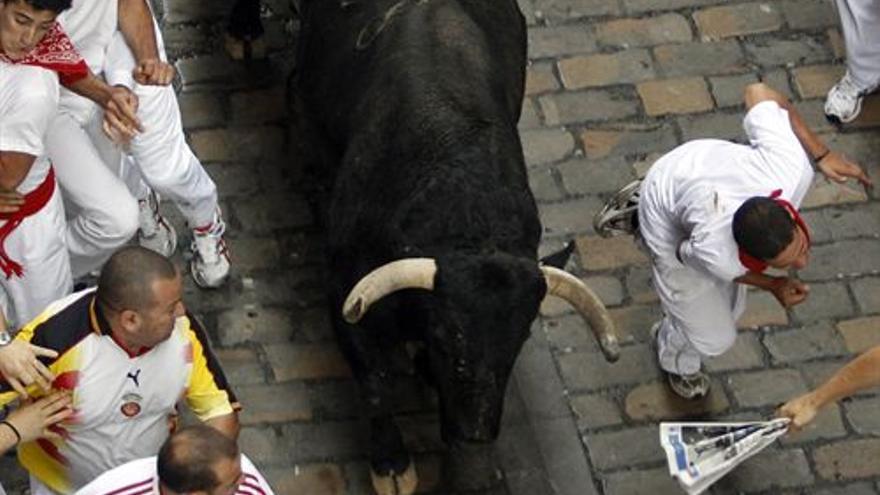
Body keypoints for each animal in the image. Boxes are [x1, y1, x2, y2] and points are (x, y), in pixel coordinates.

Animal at [290, 0, 620, 492]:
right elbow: (374, 382)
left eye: (522, 336)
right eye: (446, 335)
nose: (474, 441)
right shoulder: (343, 289)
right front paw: (392, 465)